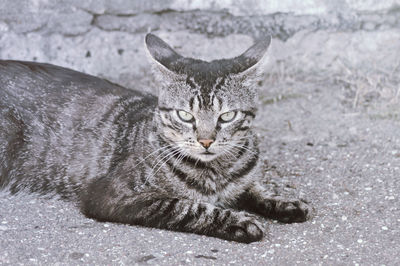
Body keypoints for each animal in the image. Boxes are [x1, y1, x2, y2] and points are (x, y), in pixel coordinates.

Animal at [0, 33, 310, 243]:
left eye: (227, 116)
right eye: (185, 115)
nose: (206, 141)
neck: (216, 172)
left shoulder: (241, 181)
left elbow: (254, 189)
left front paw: (284, 202)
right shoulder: (110, 194)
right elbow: (185, 205)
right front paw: (237, 222)